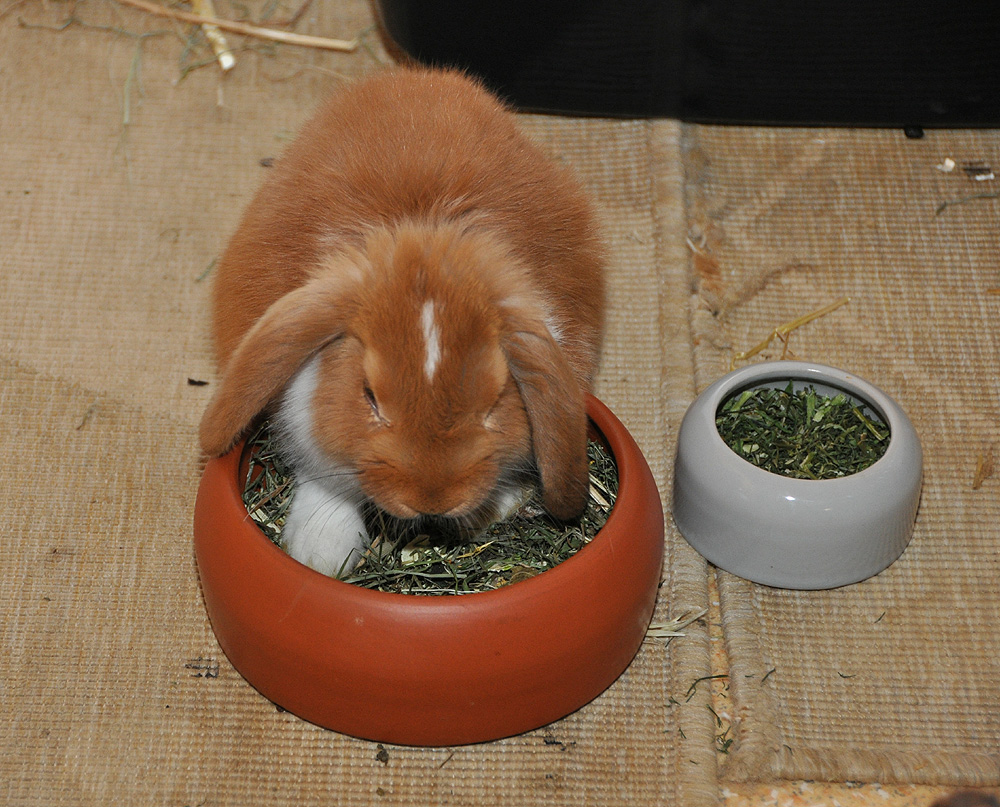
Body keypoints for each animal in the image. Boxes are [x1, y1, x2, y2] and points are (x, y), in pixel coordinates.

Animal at [195, 68, 600, 576]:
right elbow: (326, 479)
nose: (432, 500)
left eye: (493, 403)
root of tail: (415, 78)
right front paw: (321, 556)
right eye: (369, 396)